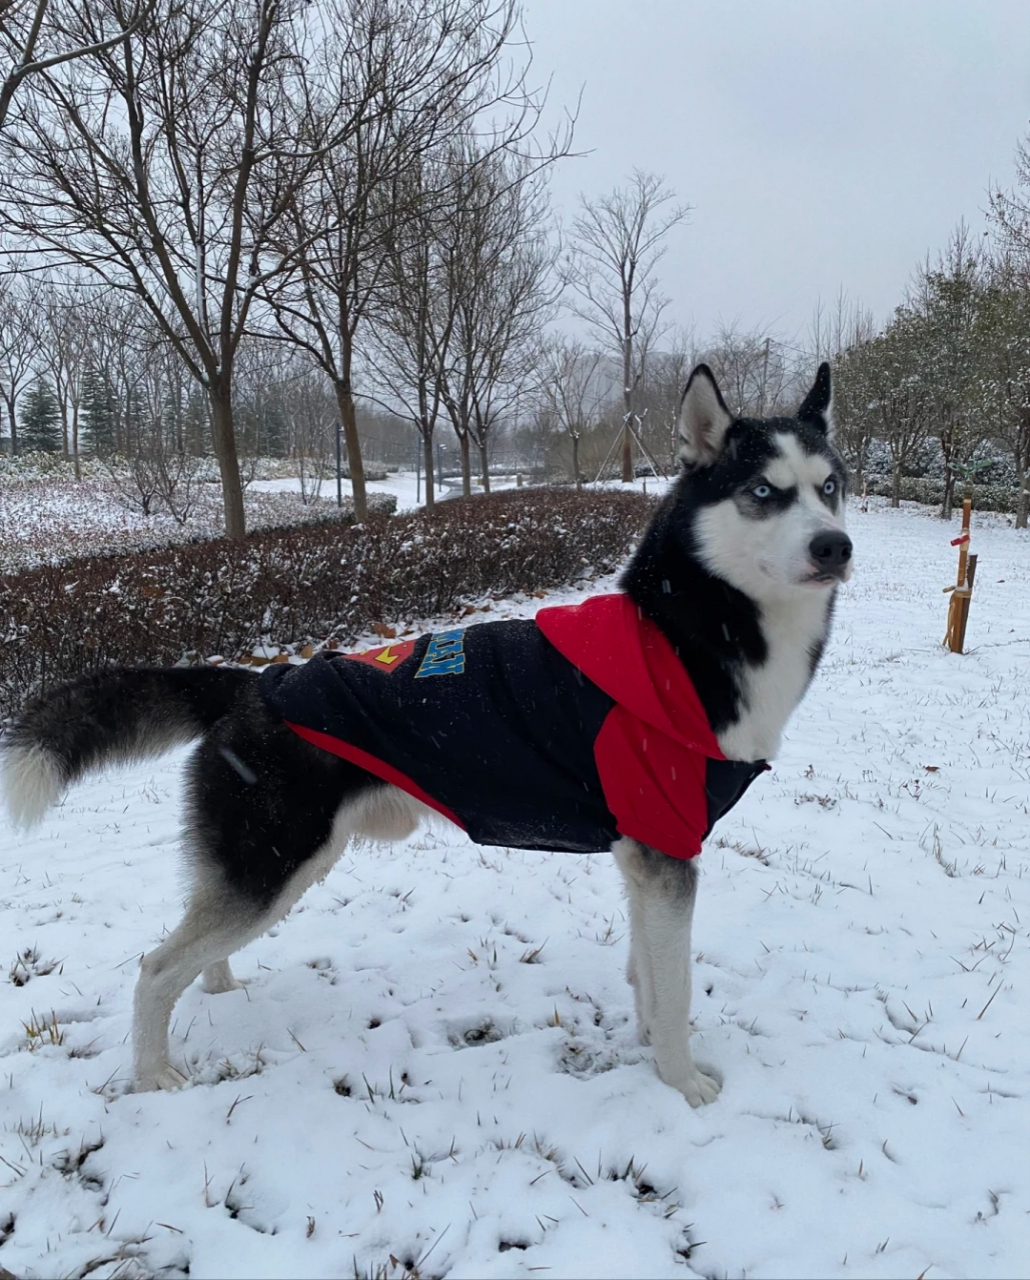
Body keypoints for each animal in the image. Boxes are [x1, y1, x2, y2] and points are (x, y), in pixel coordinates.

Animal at [2, 360, 849, 1100]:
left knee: (195, 946)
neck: (681, 635)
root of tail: (259, 681)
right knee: (154, 968)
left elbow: (647, 974)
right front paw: (682, 1083)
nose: (835, 545)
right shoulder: (666, 848)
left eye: (830, 487)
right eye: (763, 491)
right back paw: (153, 1073)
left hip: (274, 868)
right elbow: (673, 991)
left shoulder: (645, 855)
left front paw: (647, 1048)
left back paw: (223, 989)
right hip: (273, 866)